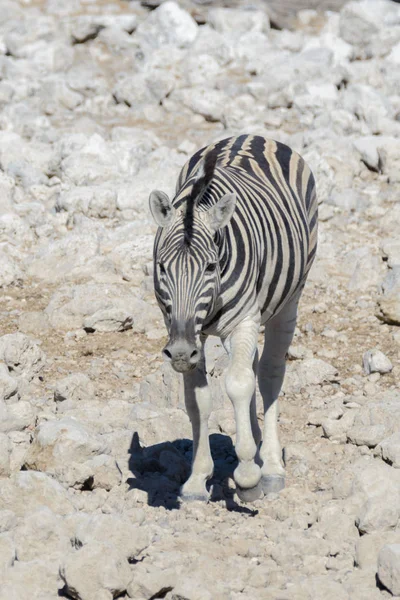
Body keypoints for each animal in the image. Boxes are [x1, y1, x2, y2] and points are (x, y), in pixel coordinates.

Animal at [148, 135, 318, 502]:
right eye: (162, 267)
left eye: (210, 266)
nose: (178, 352)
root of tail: (255, 135)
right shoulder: (186, 330)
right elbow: (198, 400)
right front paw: (197, 480)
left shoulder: (242, 323)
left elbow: (239, 385)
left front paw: (248, 475)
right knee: (252, 368)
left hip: (289, 301)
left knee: (268, 375)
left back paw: (270, 466)